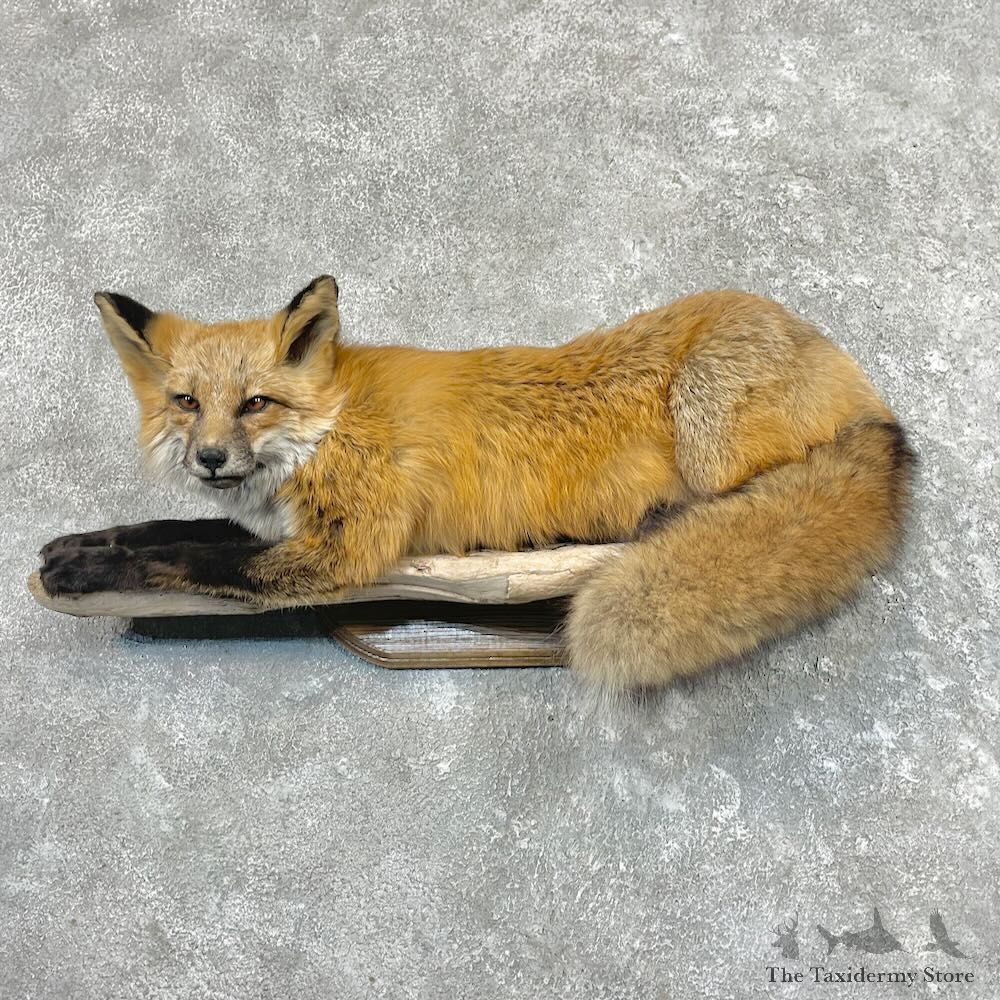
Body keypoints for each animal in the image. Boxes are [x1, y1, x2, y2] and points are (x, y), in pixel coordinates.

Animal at [39, 277, 914, 688]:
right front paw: (79, 547)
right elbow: (164, 530)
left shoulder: (344, 553)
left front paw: (90, 570)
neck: (330, 430)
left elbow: (194, 556)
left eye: (255, 404)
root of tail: (874, 403)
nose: (212, 459)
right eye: (187, 403)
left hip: (705, 418)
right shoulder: (285, 531)